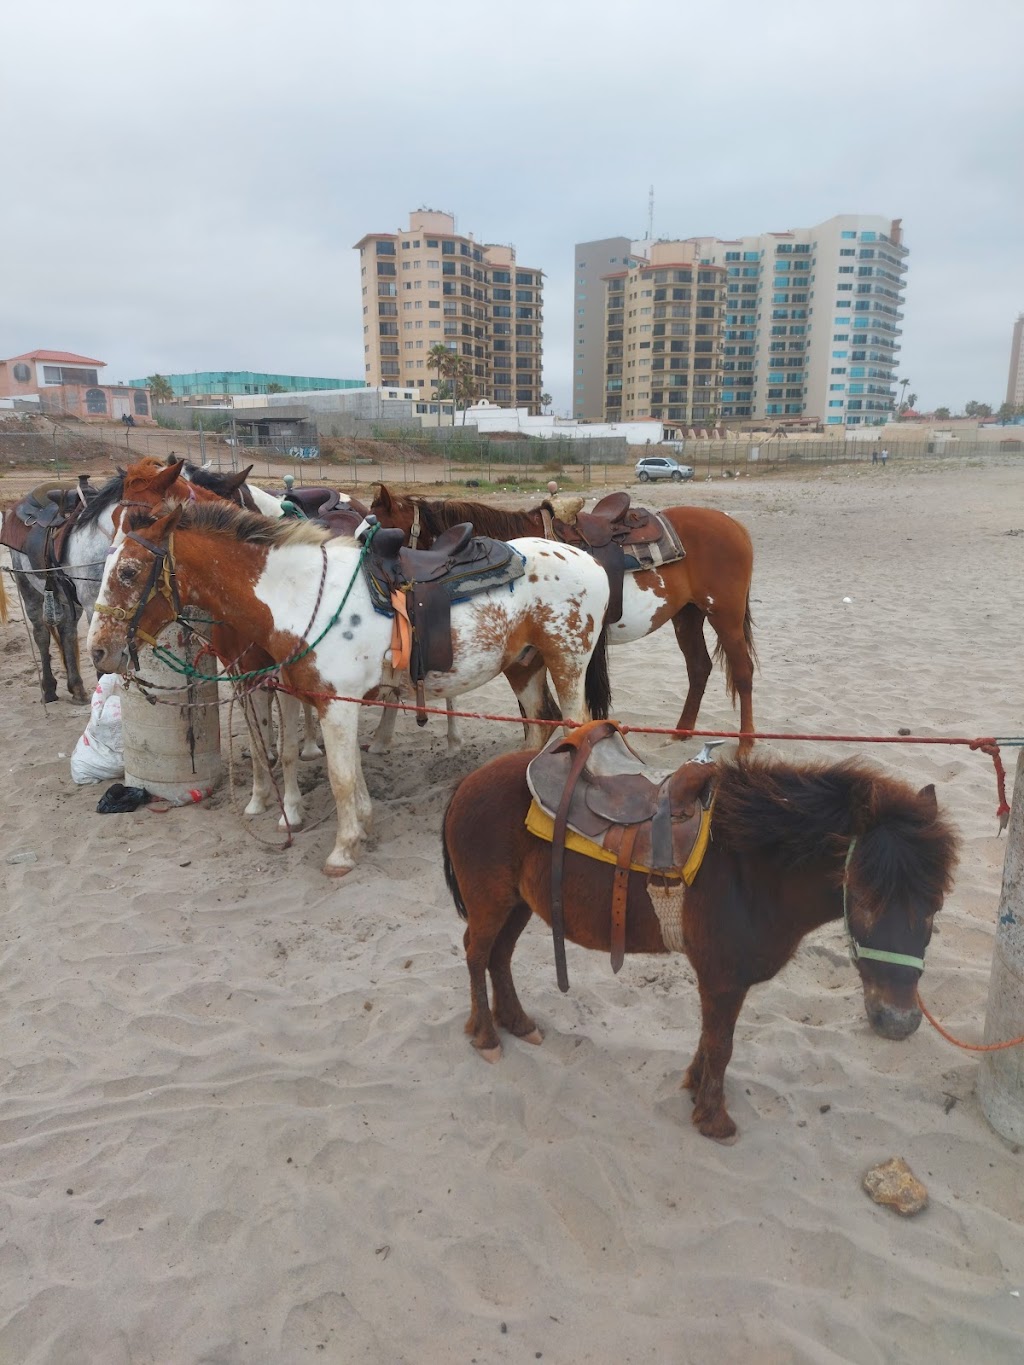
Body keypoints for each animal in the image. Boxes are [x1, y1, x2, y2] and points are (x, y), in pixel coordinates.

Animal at [6, 475, 123, 704]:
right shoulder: (94, 606)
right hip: (29, 591)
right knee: (42, 635)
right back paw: (49, 688)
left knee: (67, 633)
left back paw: (76, 687)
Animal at [88, 502, 614, 873]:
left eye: (128, 572)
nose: (97, 652)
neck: (298, 595)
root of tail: (586, 558)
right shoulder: (328, 701)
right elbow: (349, 771)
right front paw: (362, 824)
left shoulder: (334, 704)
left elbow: (340, 775)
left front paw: (342, 851)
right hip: (523, 665)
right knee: (538, 725)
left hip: (566, 662)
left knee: (575, 726)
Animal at [374, 485, 759, 748]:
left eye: (382, 534)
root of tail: (736, 526)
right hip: (688, 615)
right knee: (699, 668)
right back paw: (681, 734)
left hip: (724, 613)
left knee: (742, 672)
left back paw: (746, 743)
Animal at [442, 748, 961, 1141]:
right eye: (865, 899)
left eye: (935, 905)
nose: (898, 1021)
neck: (752, 871)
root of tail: (468, 782)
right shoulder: (723, 980)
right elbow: (722, 1044)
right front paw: (714, 1118)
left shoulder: (722, 983)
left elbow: (711, 1040)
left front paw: (694, 1086)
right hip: (491, 903)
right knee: (475, 954)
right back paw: (486, 1035)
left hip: (519, 903)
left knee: (499, 957)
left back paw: (516, 1022)